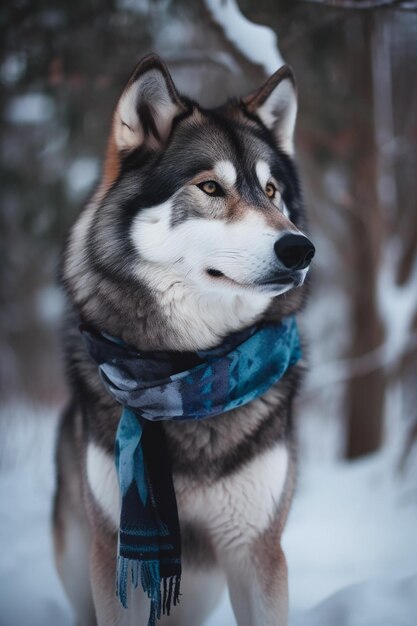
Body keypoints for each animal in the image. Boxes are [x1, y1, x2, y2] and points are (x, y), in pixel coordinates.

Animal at [53, 54, 316, 624]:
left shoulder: (256, 551)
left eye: (271, 192)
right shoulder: (112, 556)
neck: (187, 368)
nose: (300, 249)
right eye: (211, 188)